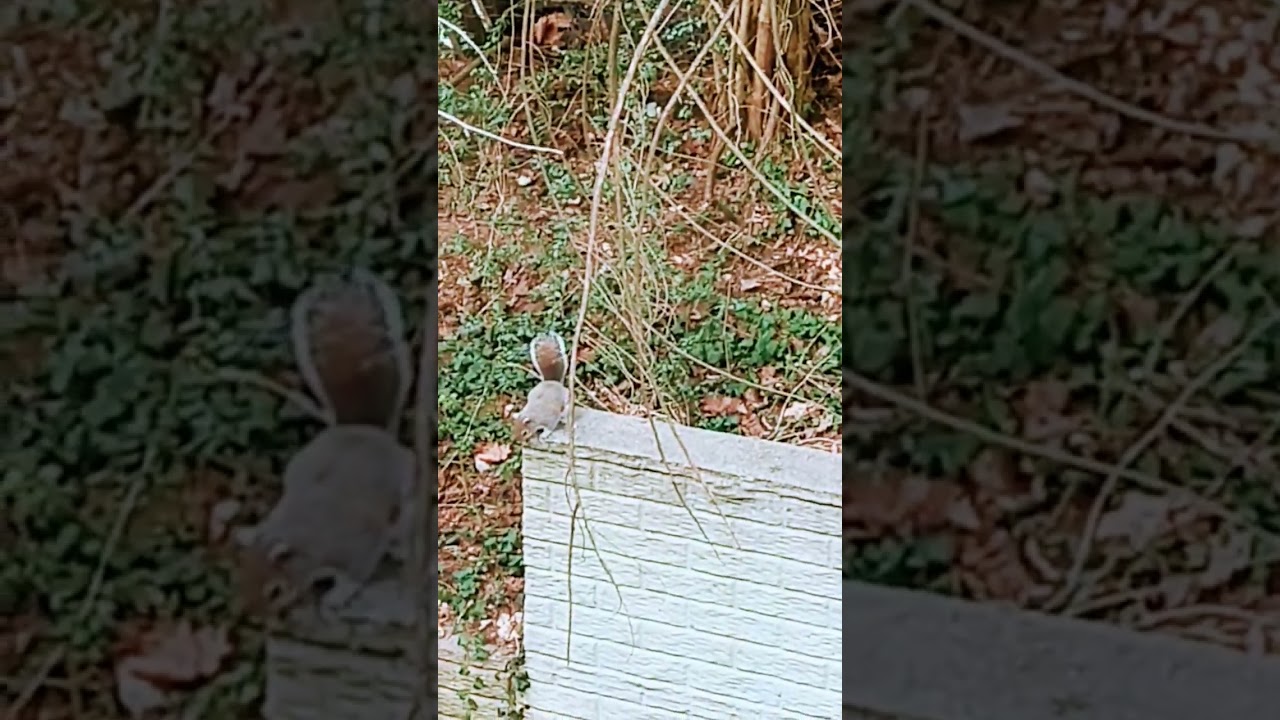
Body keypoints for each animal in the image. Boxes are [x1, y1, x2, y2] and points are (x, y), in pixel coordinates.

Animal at [233, 268, 417, 618]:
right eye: (240, 575)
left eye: (275, 591)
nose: (256, 618)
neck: (306, 541)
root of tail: (364, 430)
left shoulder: (356, 546)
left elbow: (356, 575)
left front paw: (336, 597)